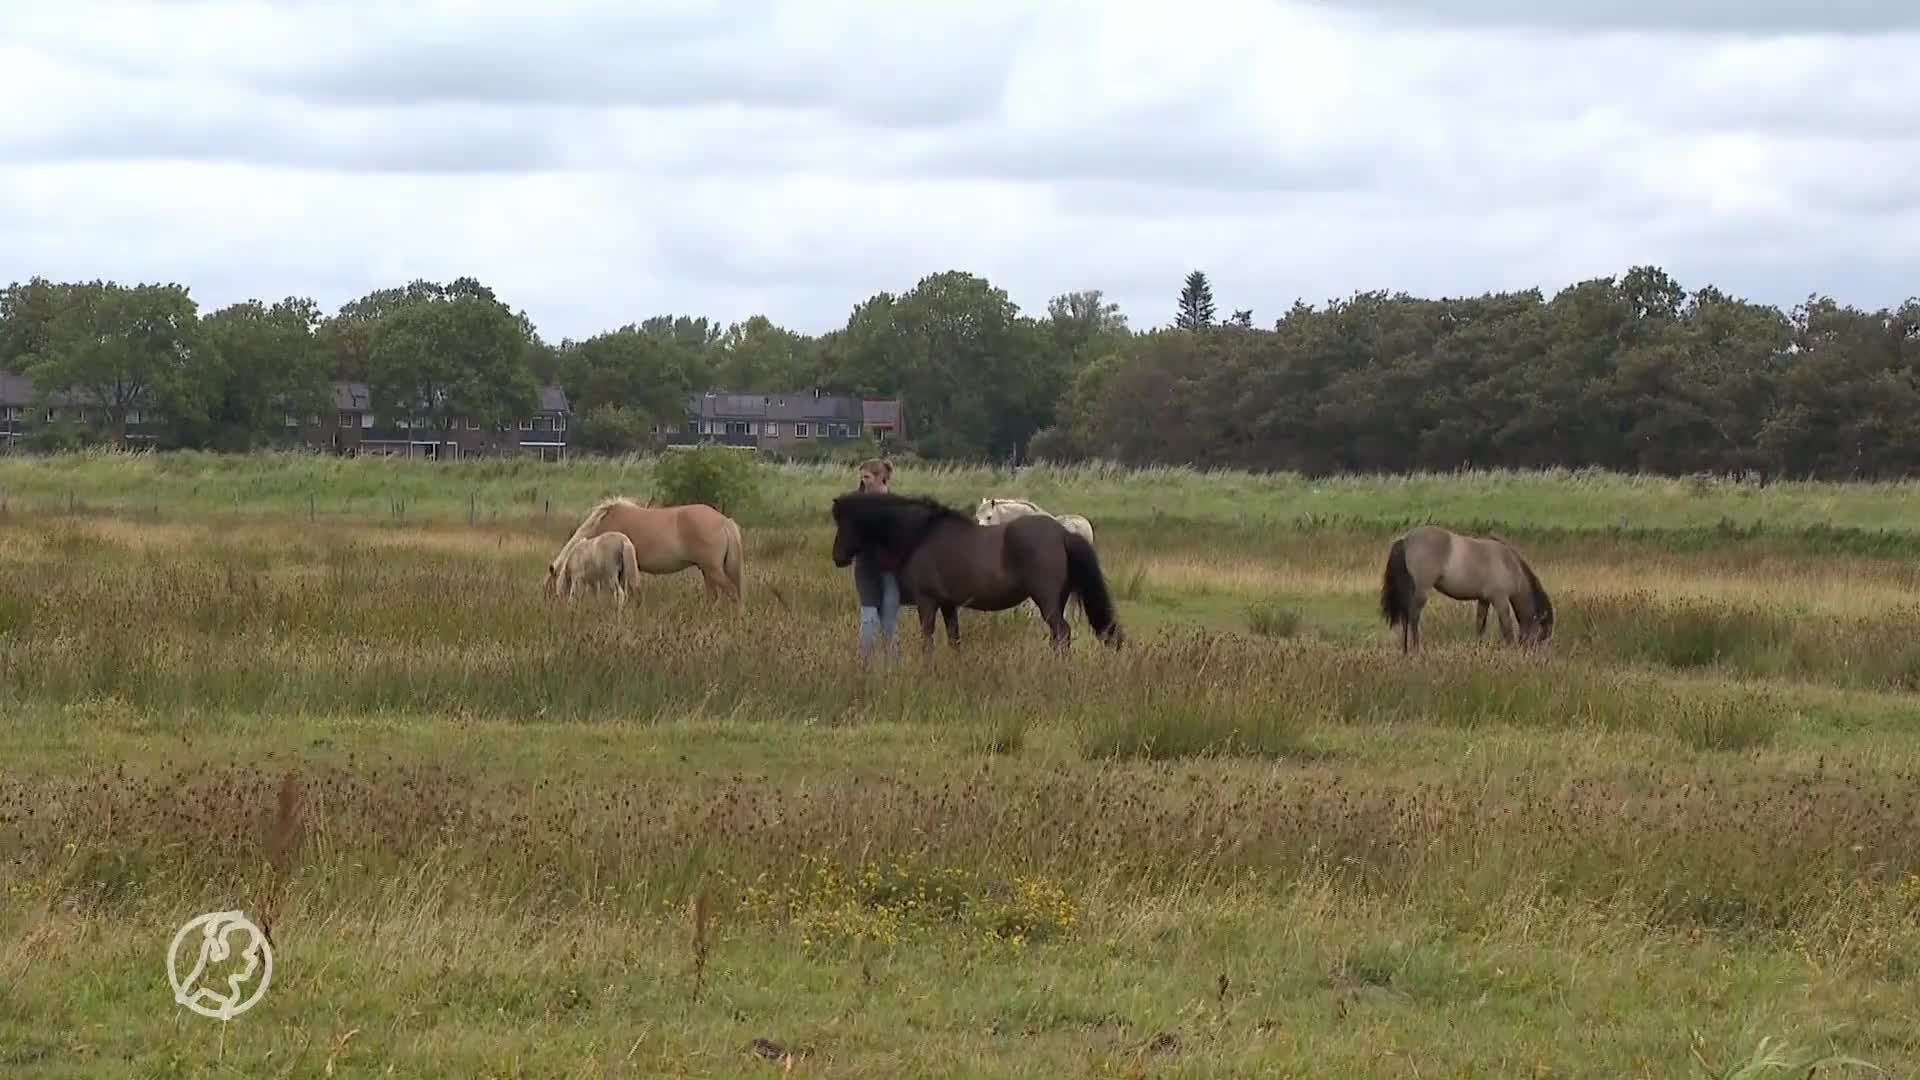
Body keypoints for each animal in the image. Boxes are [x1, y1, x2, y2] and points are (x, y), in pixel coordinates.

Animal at [549, 499, 748, 607]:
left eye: (549, 590)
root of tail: (724, 521)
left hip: (712, 569)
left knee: (732, 593)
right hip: (707, 570)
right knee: (714, 596)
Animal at [829, 491, 1121, 653]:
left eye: (845, 523)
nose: (837, 557)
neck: (924, 534)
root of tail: (1063, 533)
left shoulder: (927, 602)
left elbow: (928, 639)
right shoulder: (948, 605)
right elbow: (954, 639)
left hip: (1047, 600)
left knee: (1062, 632)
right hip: (1057, 600)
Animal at [1374, 518, 1551, 645]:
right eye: (1540, 638)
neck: (1509, 563)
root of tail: (1405, 539)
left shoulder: (1484, 600)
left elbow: (1480, 625)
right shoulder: (1500, 599)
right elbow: (1506, 627)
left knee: (1405, 616)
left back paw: (1405, 650)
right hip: (1421, 590)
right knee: (1413, 616)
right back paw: (1416, 648)